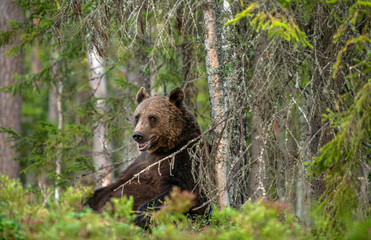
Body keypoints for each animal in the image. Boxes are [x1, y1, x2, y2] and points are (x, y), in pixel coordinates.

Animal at [85, 86, 209, 227]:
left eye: (152, 117)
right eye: (137, 116)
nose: (138, 135)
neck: (164, 149)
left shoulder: (185, 158)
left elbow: (184, 192)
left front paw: (141, 216)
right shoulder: (140, 164)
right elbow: (117, 184)